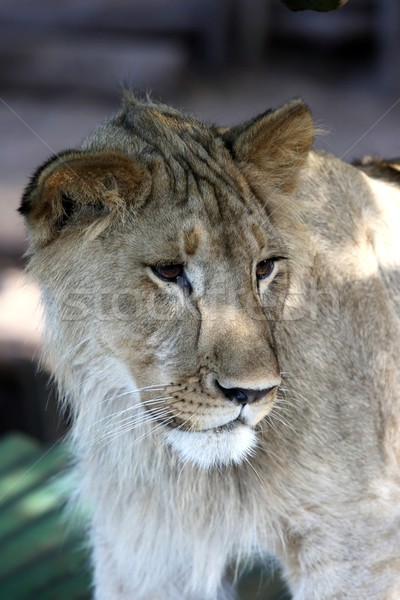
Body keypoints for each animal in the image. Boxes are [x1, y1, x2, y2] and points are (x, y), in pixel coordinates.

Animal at [21, 95, 400, 600]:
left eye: (264, 268)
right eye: (168, 271)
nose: (251, 393)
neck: (182, 471)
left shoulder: (357, 538)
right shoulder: (142, 550)